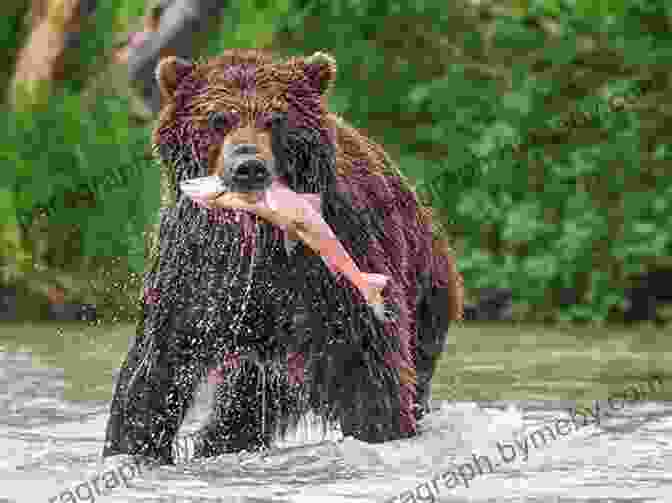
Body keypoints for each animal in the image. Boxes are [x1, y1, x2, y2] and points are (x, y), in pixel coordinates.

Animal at [102, 48, 464, 464]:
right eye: (217, 119)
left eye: (276, 119)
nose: (248, 167)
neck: (256, 234)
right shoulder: (197, 267)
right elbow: (156, 367)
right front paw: (131, 448)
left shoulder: (331, 267)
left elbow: (369, 372)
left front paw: (380, 429)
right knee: (237, 413)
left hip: (424, 293)